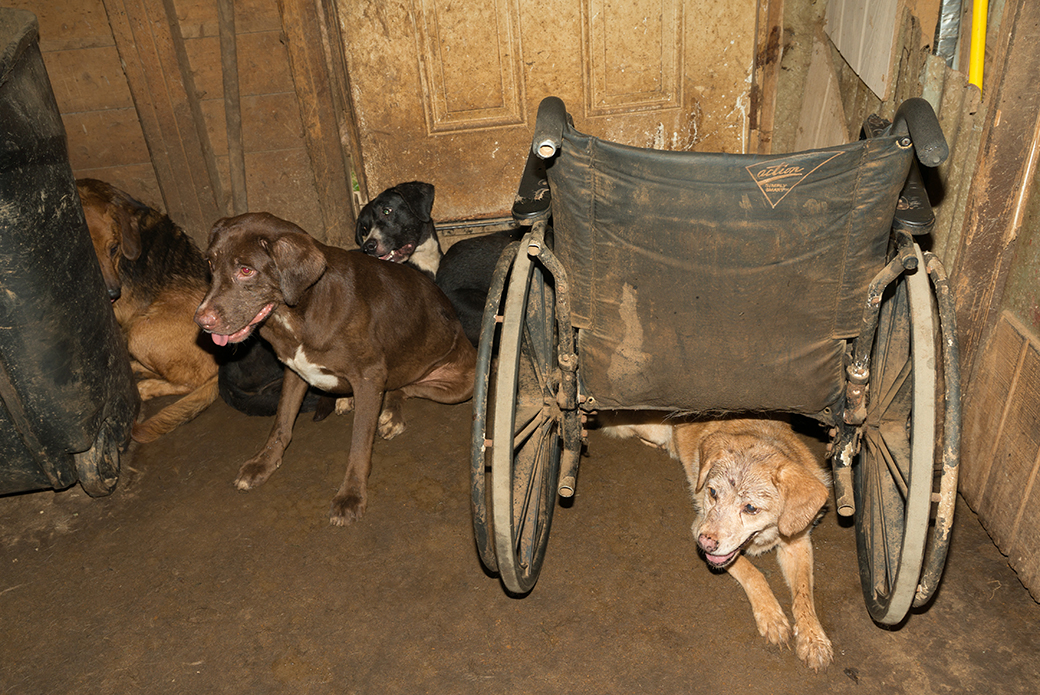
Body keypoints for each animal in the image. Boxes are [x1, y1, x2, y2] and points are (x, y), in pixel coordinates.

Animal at [77, 177, 219, 439]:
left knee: (190, 383)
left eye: (114, 248)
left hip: (140, 331)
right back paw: (137, 369)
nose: (113, 294)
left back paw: (146, 386)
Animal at [193, 212, 476, 526]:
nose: (201, 321)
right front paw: (263, 463)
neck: (299, 310)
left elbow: (359, 446)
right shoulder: (294, 371)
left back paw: (391, 414)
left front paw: (351, 495)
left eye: (246, 270)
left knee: (404, 387)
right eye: (210, 264)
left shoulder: (369, 376)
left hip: (461, 385)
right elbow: (280, 425)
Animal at [607, 416, 832, 670]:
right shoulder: (699, 525)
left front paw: (814, 639)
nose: (704, 544)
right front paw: (771, 616)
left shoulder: (798, 542)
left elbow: (804, 594)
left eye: (750, 508)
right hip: (654, 431)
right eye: (712, 492)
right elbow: (753, 573)